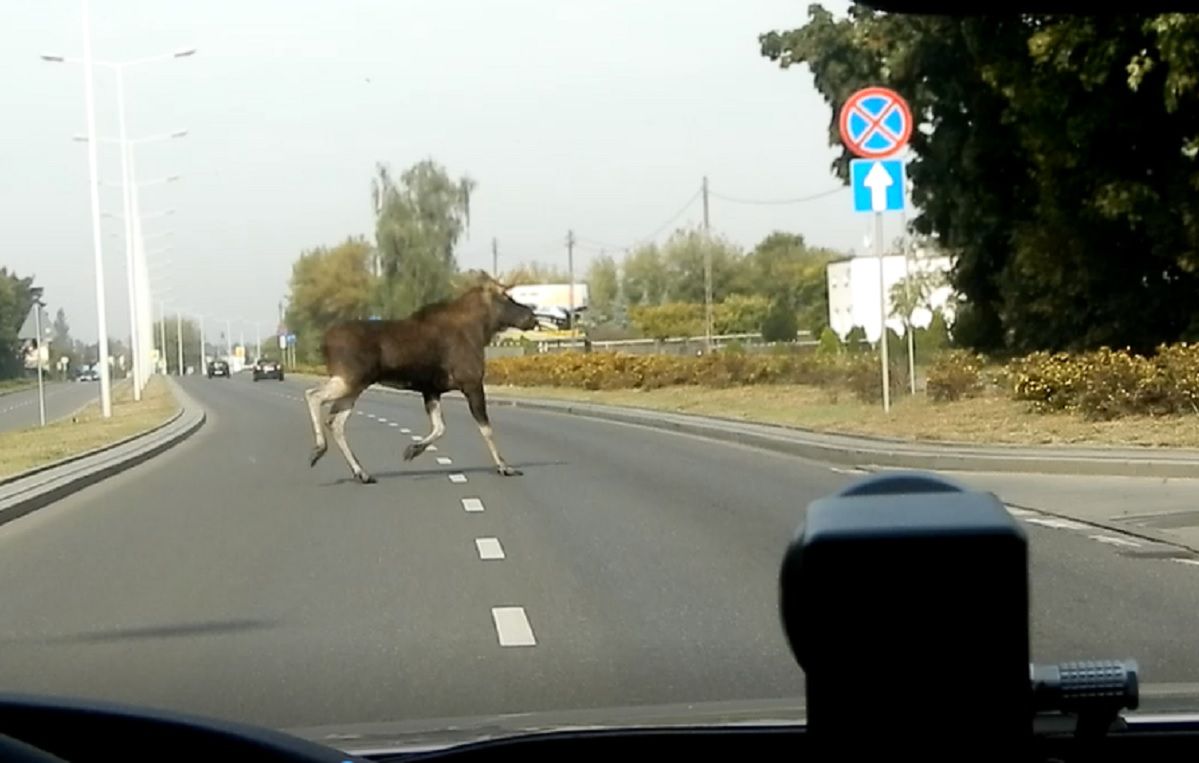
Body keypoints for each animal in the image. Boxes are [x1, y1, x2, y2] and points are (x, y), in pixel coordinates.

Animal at [304, 271, 539, 479]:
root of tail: (323, 343)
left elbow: (440, 427)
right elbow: (486, 429)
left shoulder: (431, 390)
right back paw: (319, 449)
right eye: (506, 297)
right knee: (313, 395)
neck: (481, 330)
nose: (532, 316)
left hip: (356, 385)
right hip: (349, 379)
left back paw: (361, 472)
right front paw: (504, 467)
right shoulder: (471, 382)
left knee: (335, 421)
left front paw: (413, 449)